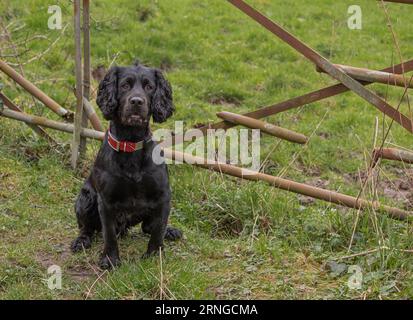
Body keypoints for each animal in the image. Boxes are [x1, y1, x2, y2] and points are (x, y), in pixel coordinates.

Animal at [71, 61, 182, 268]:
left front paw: (154, 255)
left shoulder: (163, 196)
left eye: (149, 86)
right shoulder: (105, 201)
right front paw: (110, 259)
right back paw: (81, 241)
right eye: (124, 85)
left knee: (149, 227)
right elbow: (108, 234)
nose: (137, 102)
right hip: (85, 198)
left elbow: (157, 230)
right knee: (87, 228)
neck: (130, 144)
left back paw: (170, 232)